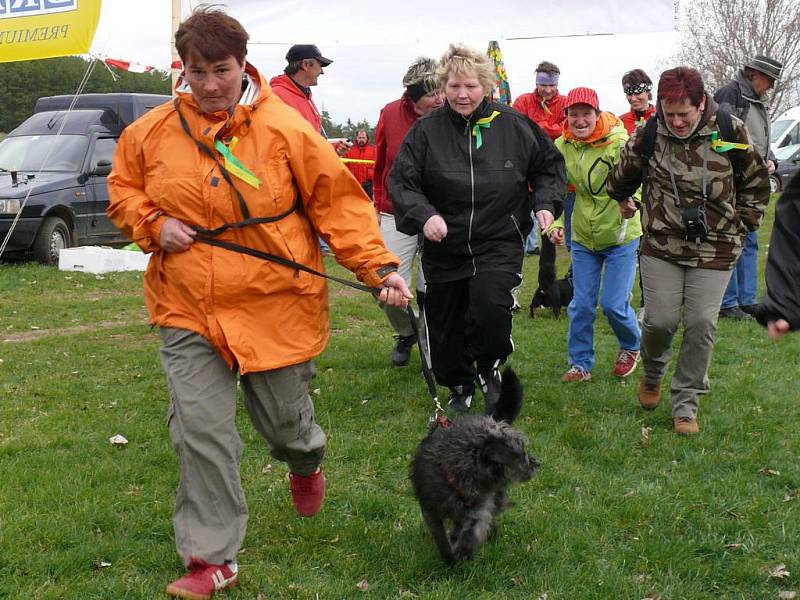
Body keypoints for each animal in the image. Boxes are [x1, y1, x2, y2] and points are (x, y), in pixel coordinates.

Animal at [412, 366, 536, 564]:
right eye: (521, 455)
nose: (536, 463)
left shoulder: (482, 506)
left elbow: (473, 529)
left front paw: (465, 550)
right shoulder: (430, 509)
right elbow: (441, 538)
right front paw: (449, 558)